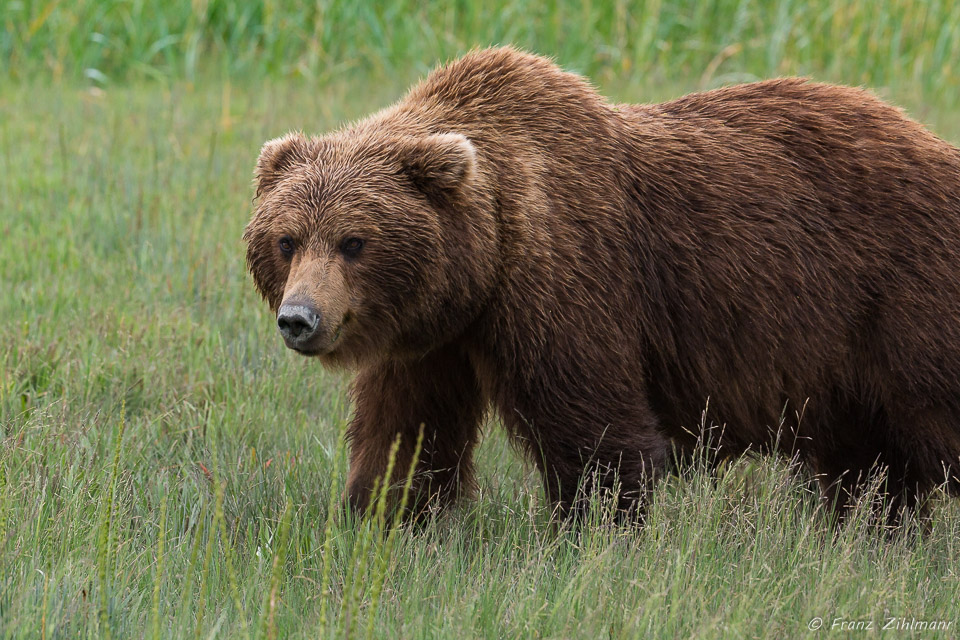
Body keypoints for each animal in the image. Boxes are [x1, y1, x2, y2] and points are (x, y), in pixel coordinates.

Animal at [244, 46, 960, 524]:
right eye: (287, 240)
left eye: (353, 241)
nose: (300, 318)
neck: (489, 252)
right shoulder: (431, 337)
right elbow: (406, 429)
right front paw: (384, 516)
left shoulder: (565, 278)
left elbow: (594, 424)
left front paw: (600, 527)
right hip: (844, 355)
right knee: (867, 462)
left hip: (897, 294)